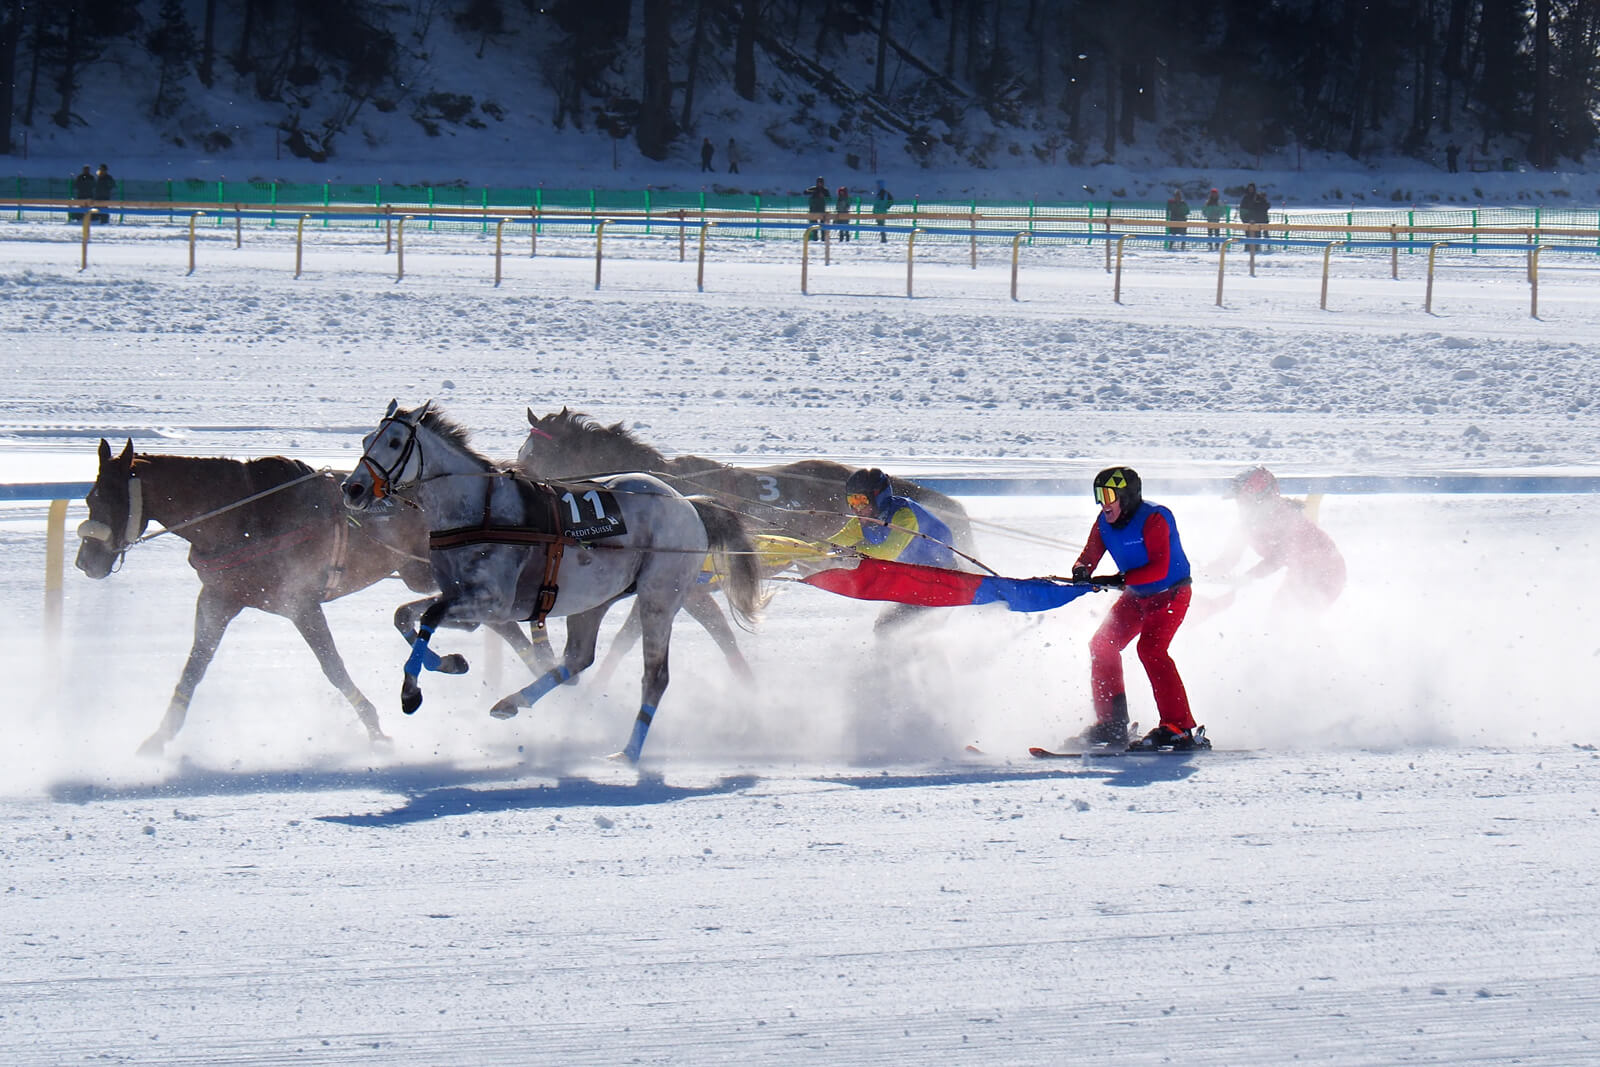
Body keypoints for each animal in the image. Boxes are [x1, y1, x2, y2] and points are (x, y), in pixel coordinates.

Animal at [76, 438, 556, 755]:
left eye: (106, 499)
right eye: (89, 496)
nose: (86, 561)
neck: (245, 516)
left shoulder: (300, 602)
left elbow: (333, 667)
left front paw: (375, 727)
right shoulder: (219, 599)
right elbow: (194, 667)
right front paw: (160, 736)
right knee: (502, 624)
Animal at [339, 396, 768, 764]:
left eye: (395, 442)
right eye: (365, 439)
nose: (352, 488)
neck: (479, 508)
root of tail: (688, 503)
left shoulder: (490, 600)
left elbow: (427, 618)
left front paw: (411, 693)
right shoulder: (464, 601)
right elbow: (405, 616)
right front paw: (450, 663)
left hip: (660, 596)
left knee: (656, 675)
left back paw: (628, 753)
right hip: (596, 599)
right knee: (578, 658)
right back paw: (513, 702)